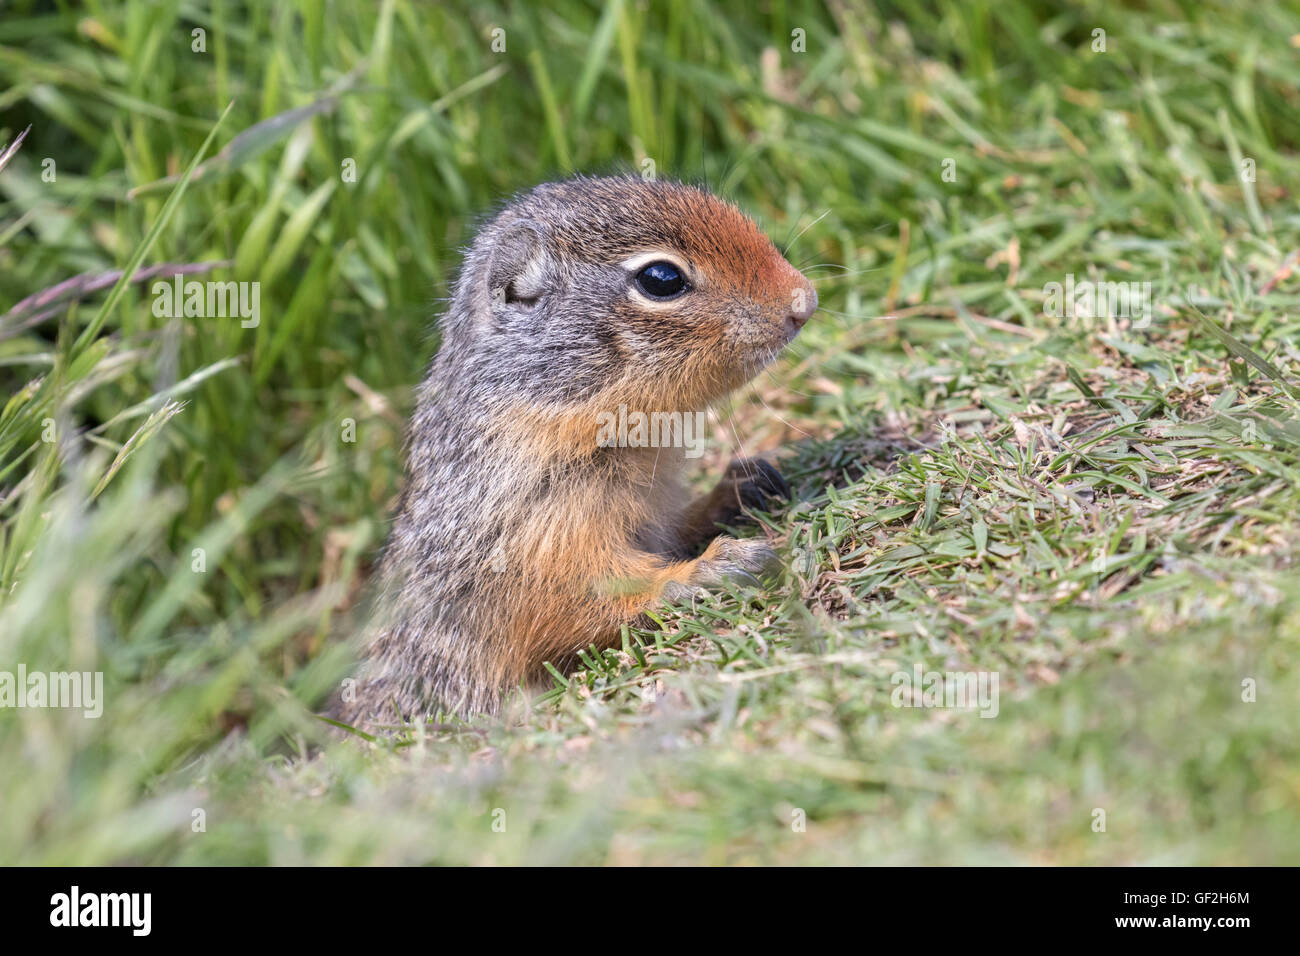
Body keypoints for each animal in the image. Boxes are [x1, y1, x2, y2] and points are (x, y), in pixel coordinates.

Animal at [340, 174, 816, 723]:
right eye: (661, 279)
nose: (805, 302)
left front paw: (736, 489)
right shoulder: (535, 539)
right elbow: (588, 597)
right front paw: (708, 571)